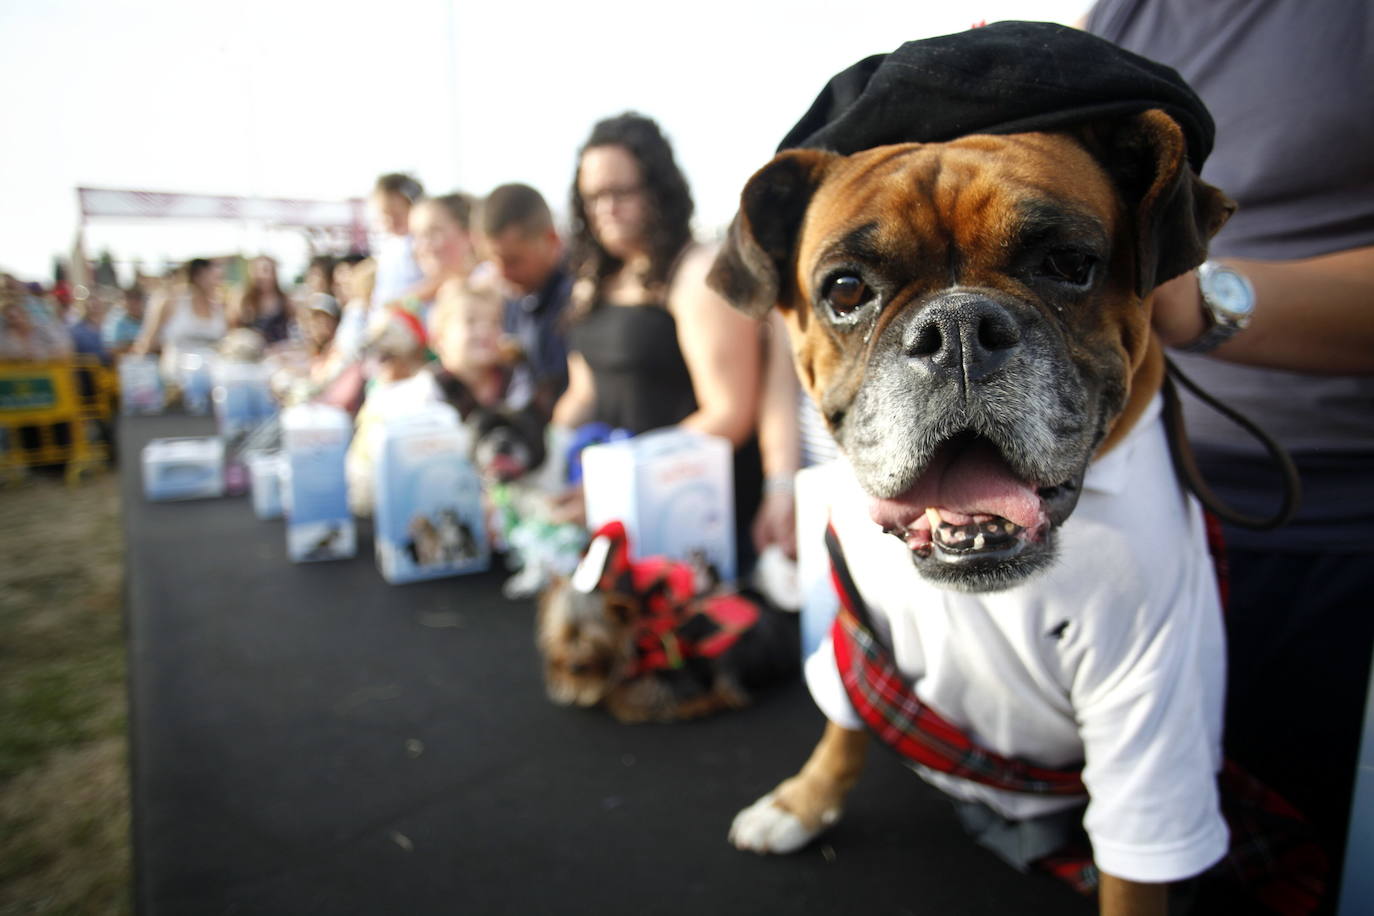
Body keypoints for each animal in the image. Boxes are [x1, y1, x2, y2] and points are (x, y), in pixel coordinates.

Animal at [714, 107, 1242, 911]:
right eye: (845, 290)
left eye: (1069, 263)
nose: (957, 330)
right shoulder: (859, 632)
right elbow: (845, 719)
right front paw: (804, 801)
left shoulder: (1151, 712)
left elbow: (1133, 877)